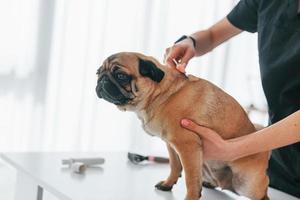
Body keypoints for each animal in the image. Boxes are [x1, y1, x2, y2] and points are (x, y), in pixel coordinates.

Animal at [95, 52, 270, 200]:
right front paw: (168, 184)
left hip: (248, 184)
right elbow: (174, 166)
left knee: (263, 190)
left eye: (121, 76)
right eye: (98, 73)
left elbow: (191, 180)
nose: (102, 80)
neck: (161, 94)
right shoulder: (172, 145)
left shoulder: (187, 147)